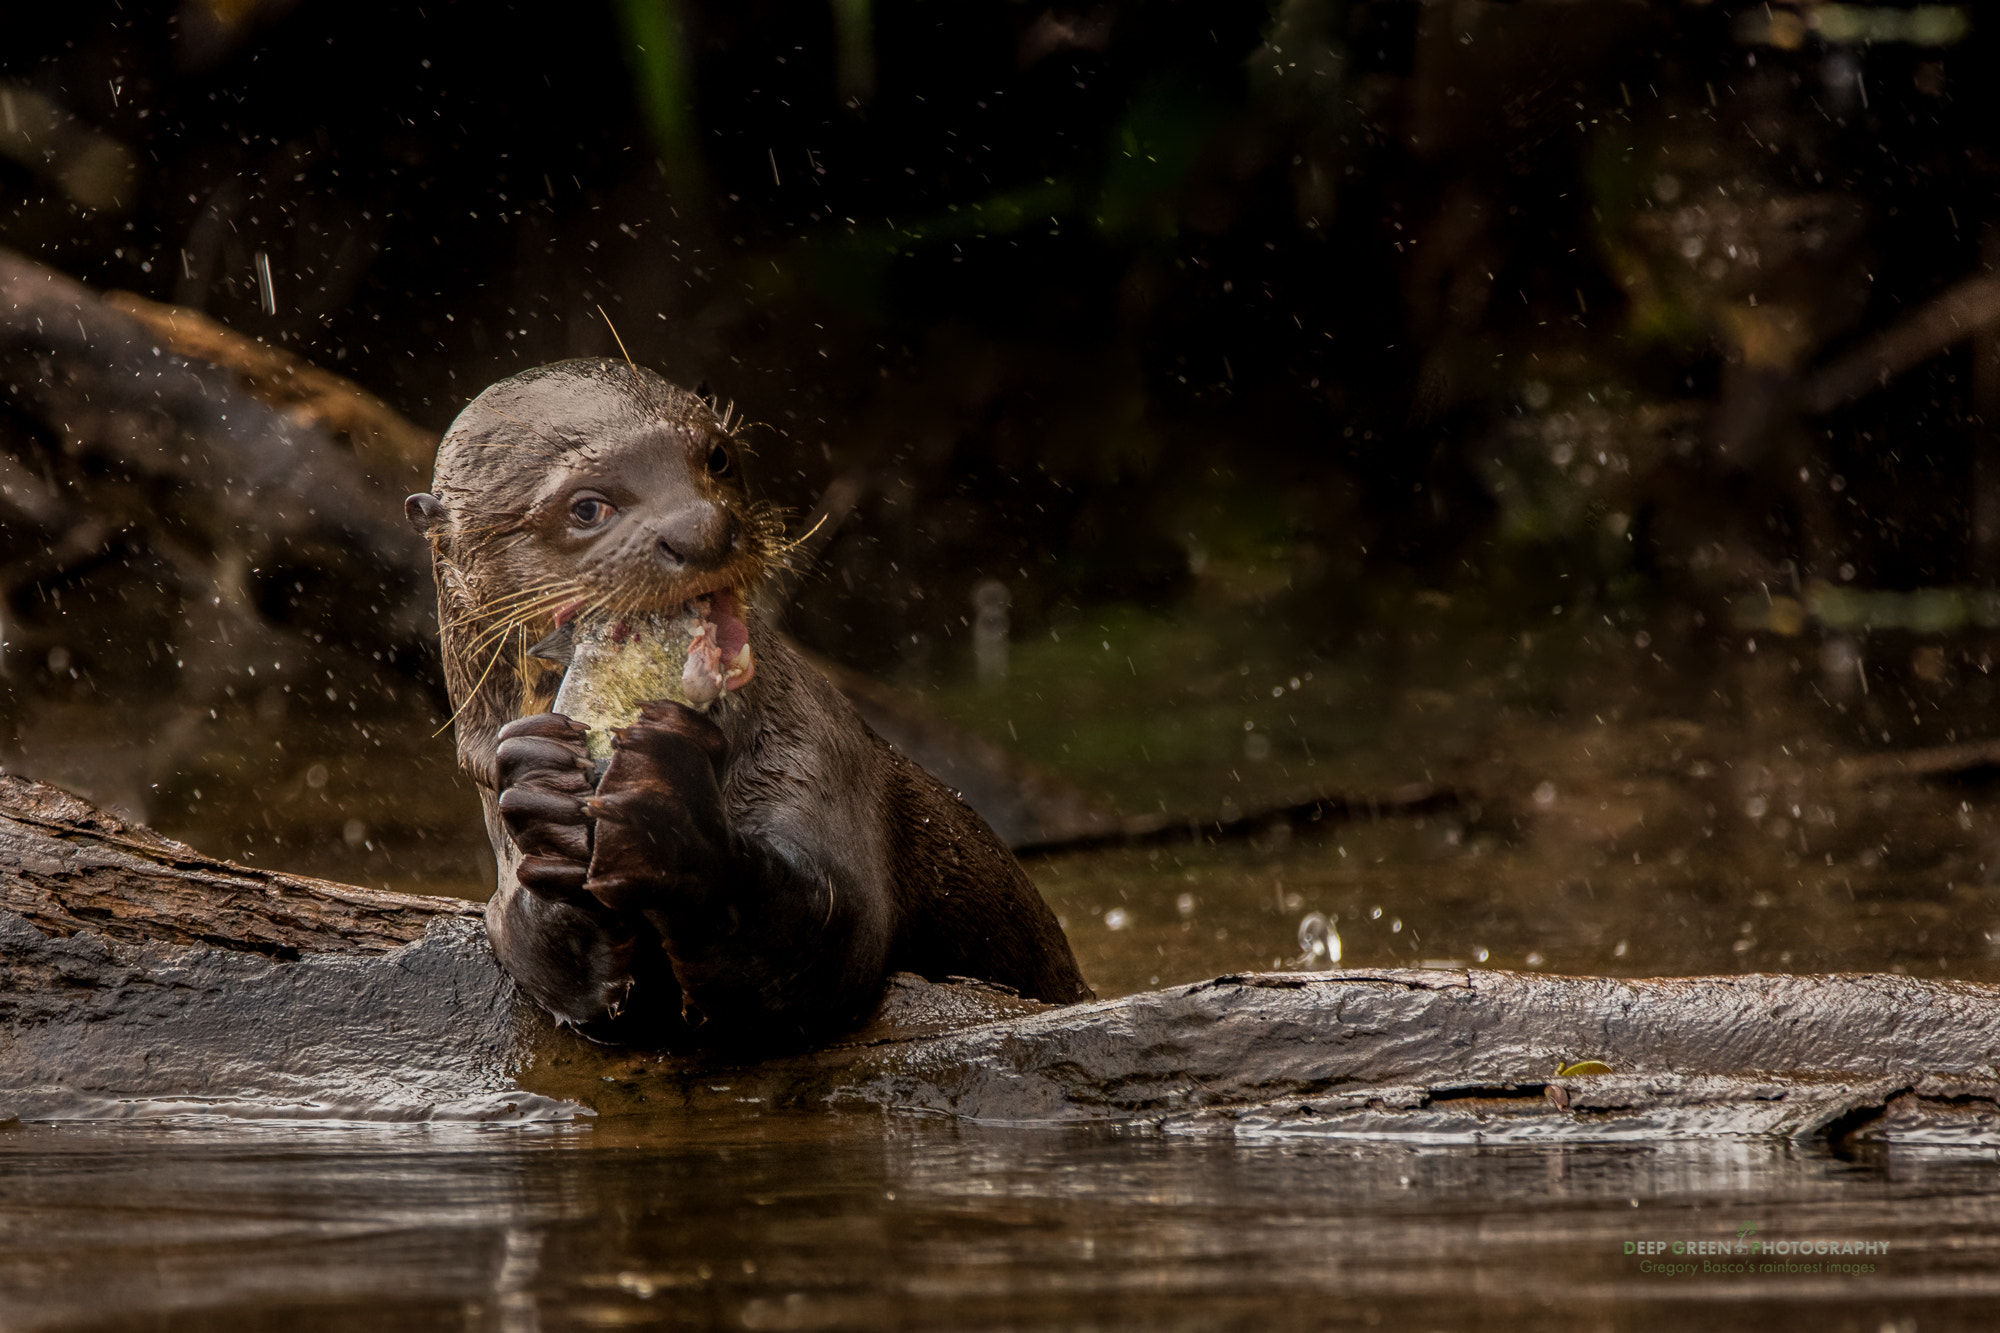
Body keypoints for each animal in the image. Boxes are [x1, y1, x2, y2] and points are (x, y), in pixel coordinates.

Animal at [406, 359, 1092, 1051]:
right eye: (587, 507)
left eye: (717, 458)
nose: (701, 530)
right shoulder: (490, 801)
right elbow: (536, 953)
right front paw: (546, 792)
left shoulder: (817, 757)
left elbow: (835, 938)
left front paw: (668, 798)